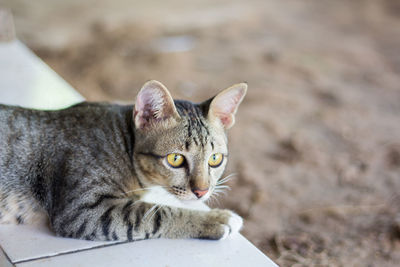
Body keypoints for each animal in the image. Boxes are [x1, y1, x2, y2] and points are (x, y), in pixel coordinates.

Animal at [0, 80, 247, 242]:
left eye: (215, 159)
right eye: (175, 159)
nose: (202, 192)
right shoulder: (81, 211)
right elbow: (160, 214)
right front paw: (215, 219)